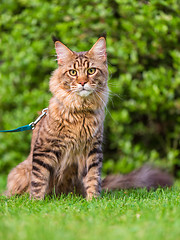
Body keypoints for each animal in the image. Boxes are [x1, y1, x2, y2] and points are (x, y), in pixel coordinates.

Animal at [4, 36, 172, 200]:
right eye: (73, 72)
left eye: (91, 71)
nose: (82, 82)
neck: (81, 111)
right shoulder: (45, 148)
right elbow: (38, 181)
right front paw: (35, 202)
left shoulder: (92, 149)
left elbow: (93, 177)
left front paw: (93, 200)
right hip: (20, 171)